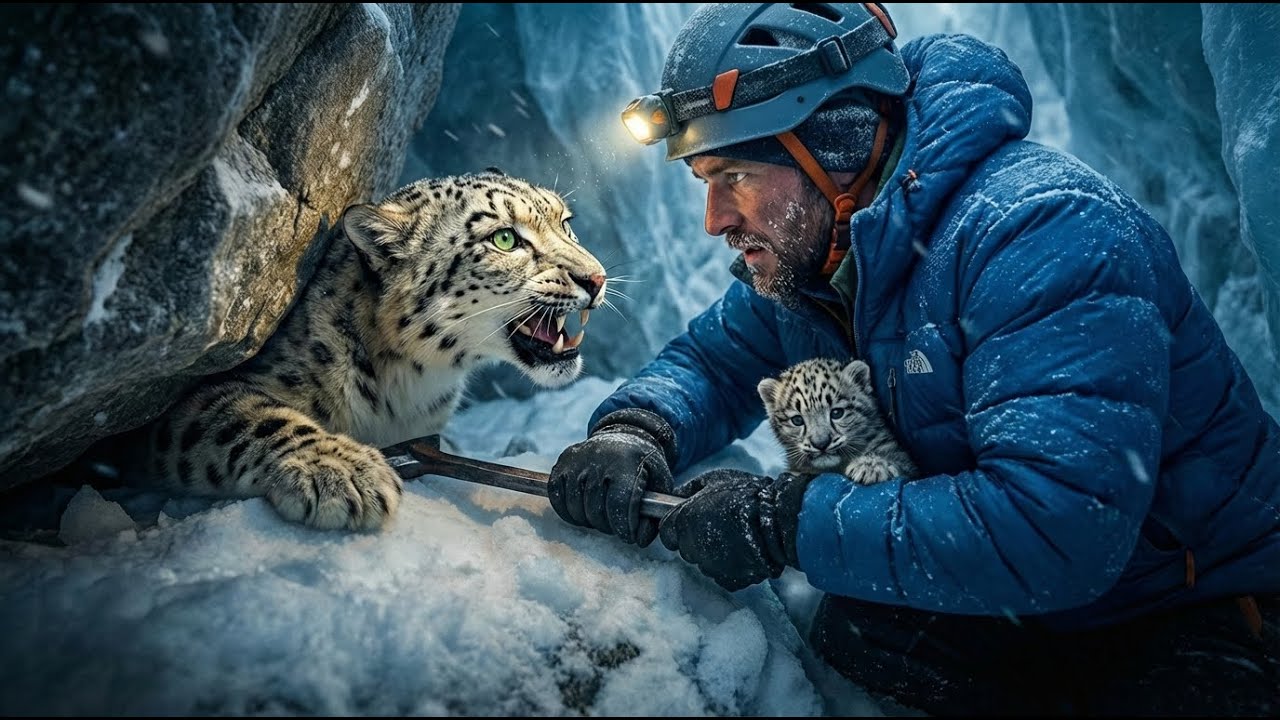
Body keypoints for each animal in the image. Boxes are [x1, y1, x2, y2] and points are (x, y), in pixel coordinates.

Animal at [123, 168, 606, 531]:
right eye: (505, 238)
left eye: (566, 223)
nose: (597, 277)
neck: (413, 388)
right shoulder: (193, 401)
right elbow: (249, 416)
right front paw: (341, 472)